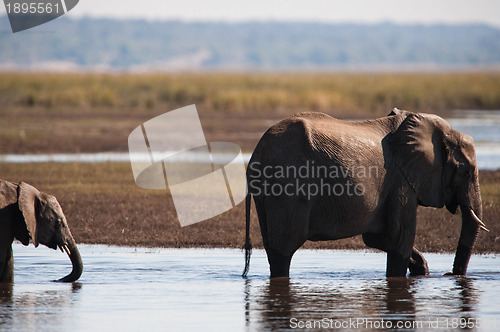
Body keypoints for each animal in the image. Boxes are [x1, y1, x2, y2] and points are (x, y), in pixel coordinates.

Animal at [242, 109, 488, 278]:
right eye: (467, 172)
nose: (450, 274)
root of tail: (257, 152)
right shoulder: (401, 182)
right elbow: (399, 239)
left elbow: (379, 238)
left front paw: (421, 270)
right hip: (287, 184)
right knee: (284, 249)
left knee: (274, 248)